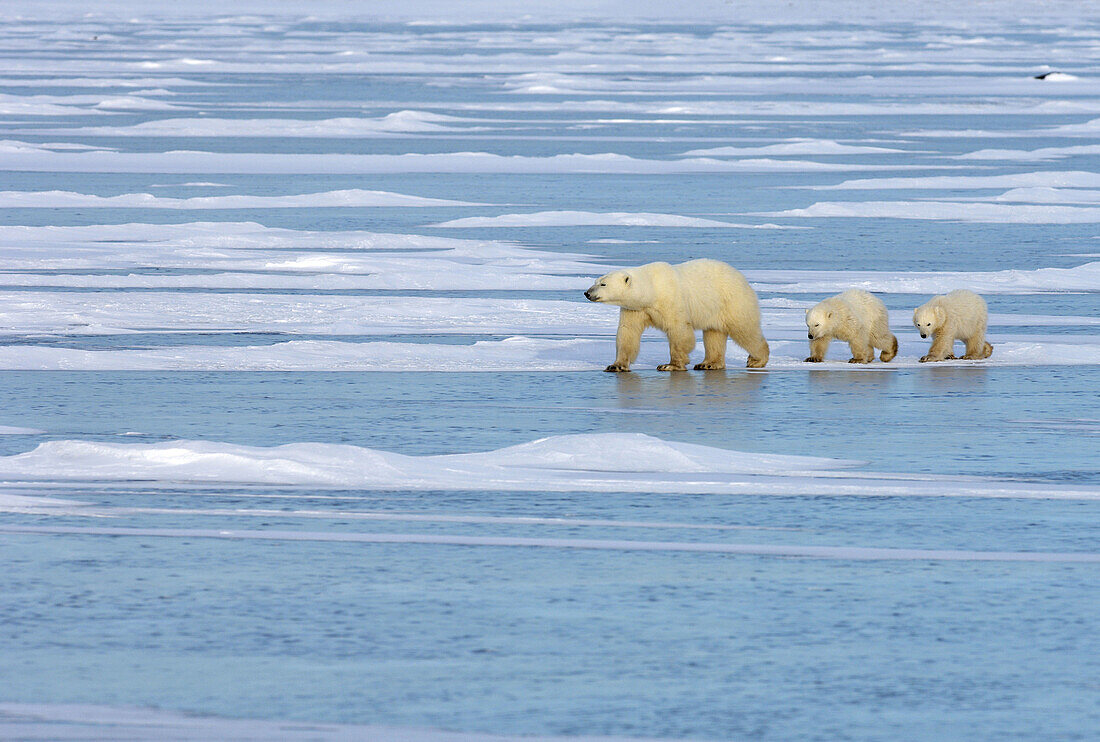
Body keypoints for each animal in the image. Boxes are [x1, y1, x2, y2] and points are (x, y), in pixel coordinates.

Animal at [585, 258, 765, 371]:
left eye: (603, 284)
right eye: (595, 281)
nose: (587, 293)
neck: (652, 290)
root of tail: (743, 279)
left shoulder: (671, 300)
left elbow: (679, 331)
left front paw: (670, 365)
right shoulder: (635, 309)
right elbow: (628, 332)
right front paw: (616, 365)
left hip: (732, 301)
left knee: (745, 330)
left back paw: (757, 360)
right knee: (714, 335)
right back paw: (708, 364)